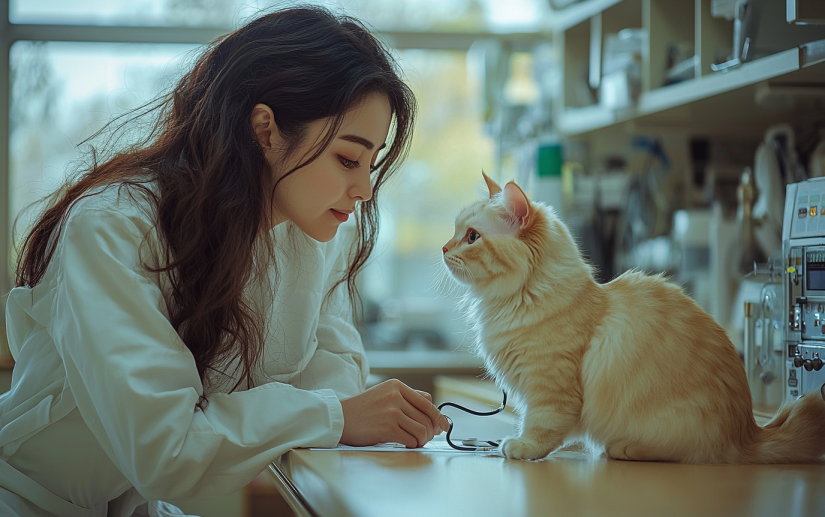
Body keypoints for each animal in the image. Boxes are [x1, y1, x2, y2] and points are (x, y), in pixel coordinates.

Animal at [440, 171, 824, 462]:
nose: (443, 248)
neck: (517, 300)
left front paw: (520, 447)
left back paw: (624, 449)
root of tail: (749, 432)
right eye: (454, 232)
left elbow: (542, 427)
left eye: (471, 237)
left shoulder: (550, 389)